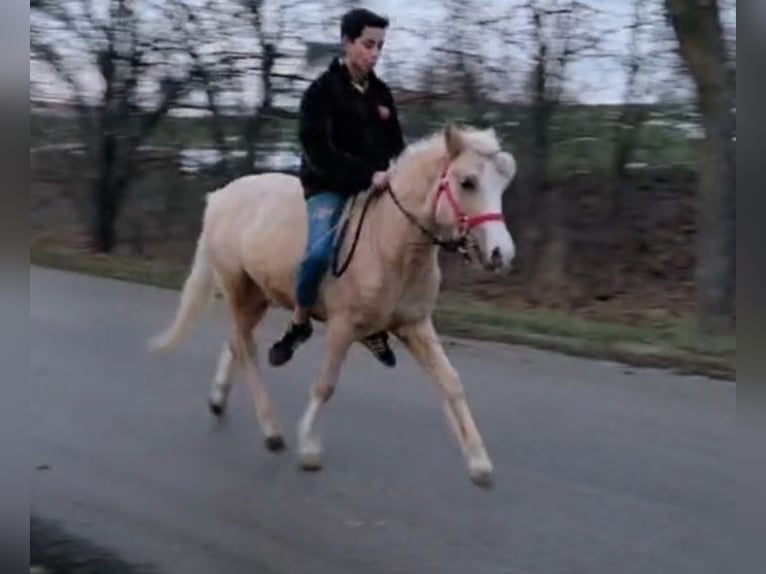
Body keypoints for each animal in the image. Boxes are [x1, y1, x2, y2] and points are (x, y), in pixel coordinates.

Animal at [149, 123, 517, 488]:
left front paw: (479, 462)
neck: (387, 243)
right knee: (246, 349)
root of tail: (220, 196)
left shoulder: (416, 325)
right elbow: (325, 384)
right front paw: (309, 447)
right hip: (237, 288)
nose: (502, 254)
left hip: (258, 295)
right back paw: (271, 430)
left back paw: (219, 400)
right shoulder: (343, 327)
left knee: (237, 342)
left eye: (502, 182)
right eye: (467, 182)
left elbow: (451, 383)